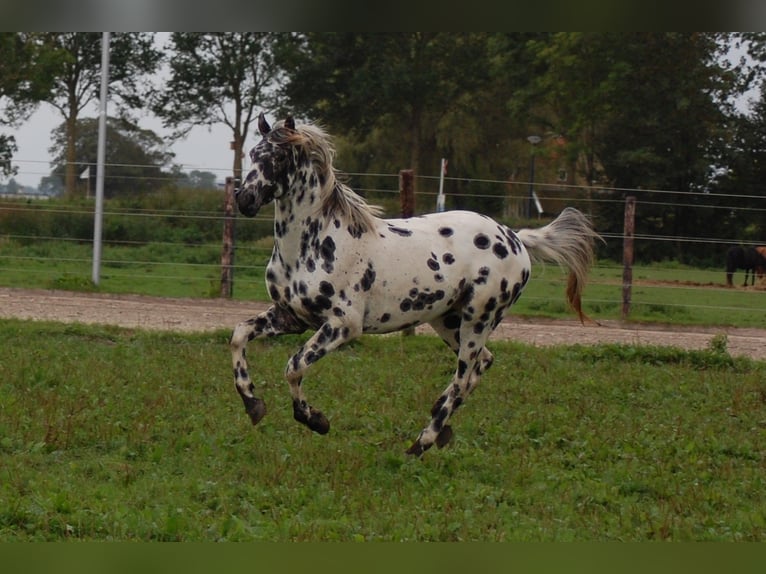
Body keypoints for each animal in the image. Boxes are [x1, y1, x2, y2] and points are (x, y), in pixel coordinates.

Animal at [231, 113, 604, 460]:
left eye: (280, 158)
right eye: (253, 153)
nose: (245, 199)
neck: (314, 243)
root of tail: (515, 237)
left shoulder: (342, 326)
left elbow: (294, 367)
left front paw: (315, 420)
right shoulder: (291, 317)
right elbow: (239, 335)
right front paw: (253, 404)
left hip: (478, 319)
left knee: (464, 377)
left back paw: (422, 441)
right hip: (448, 321)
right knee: (481, 365)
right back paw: (439, 424)